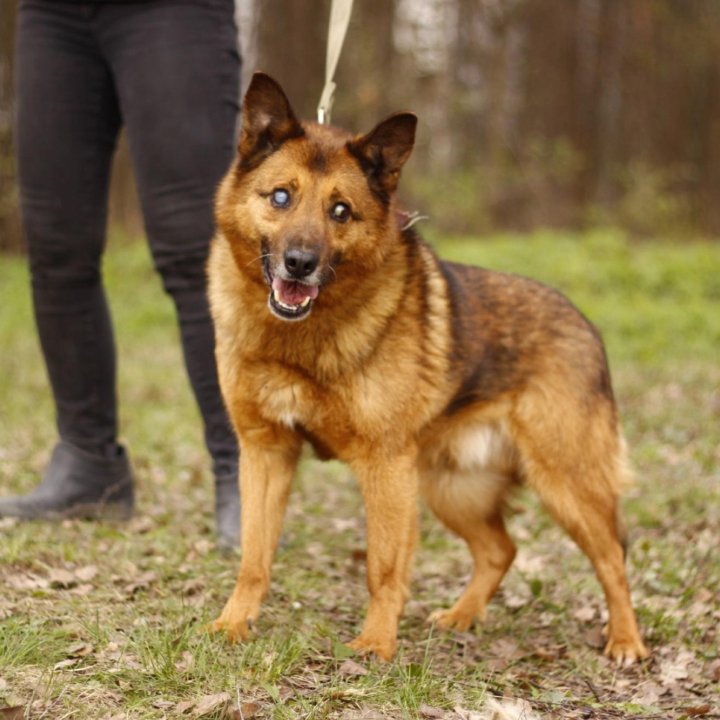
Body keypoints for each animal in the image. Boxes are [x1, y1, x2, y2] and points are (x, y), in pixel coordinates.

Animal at [205, 71, 648, 664]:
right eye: (281, 197)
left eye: (340, 211)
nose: (299, 263)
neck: (296, 339)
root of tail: (586, 325)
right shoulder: (266, 452)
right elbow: (254, 557)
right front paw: (234, 623)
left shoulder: (385, 467)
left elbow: (383, 567)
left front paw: (376, 643)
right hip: (452, 488)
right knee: (501, 549)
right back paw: (462, 616)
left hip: (565, 484)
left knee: (611, 558)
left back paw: (625, 640)